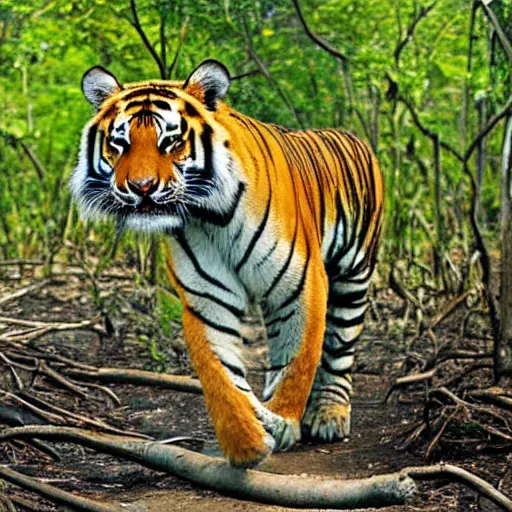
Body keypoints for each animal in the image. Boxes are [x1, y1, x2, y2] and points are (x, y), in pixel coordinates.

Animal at [71, 59, 384, 468]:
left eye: (171, 142)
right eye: (119, 144)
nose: (141, 187)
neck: (210, 216)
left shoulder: (302, 282)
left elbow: (298, 360)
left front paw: (283, 420)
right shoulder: (208, 296)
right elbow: (220, 375)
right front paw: (247, 442)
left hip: (354, 274)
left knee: (338, 348)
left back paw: (328, 415)